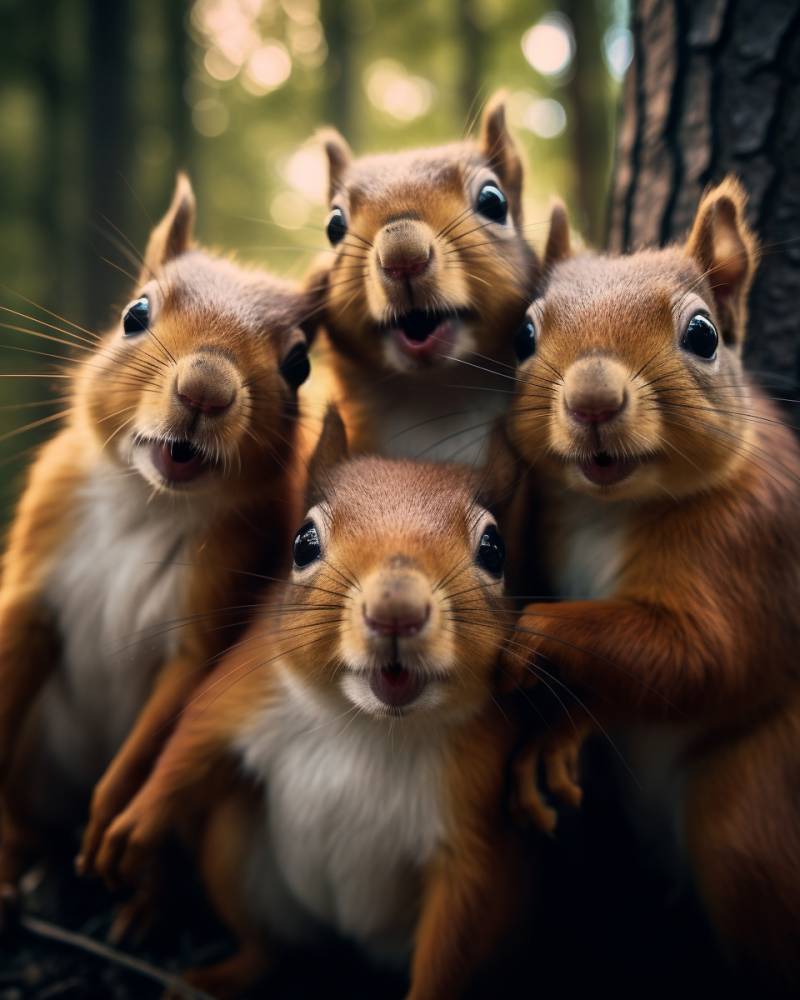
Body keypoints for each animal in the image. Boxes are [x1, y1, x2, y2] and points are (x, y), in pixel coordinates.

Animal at [0, 170, 318, 900]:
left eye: (300, 365)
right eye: (135, 315)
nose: (204, 389)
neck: (147, 505)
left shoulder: (211, 607)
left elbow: (165, 720)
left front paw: (109, 828)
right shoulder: (34, 570)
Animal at [89, 408, 532, 1000]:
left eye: (494, 550)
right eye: (303, 544)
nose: (396, 609)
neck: (366, 723)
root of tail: (344, 938)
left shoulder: (477, 814)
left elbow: (452, 943)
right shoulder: (246, 688)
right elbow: (187, 752)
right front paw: (131, 833)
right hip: (236, 862)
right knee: (269, 948)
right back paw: (215, 976)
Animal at [506, 182, 800, 984]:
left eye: (702, 335)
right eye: (523, 335)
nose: (593, 401)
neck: (610, 508)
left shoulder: (754, 548)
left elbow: (703, 658)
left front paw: (534, 633)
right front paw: (561, 730)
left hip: (747, 808)